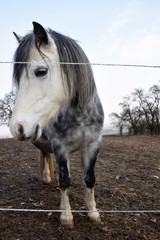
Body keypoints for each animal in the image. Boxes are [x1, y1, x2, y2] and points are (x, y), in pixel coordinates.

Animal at [9, 21, 104, 228]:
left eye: (41, 71)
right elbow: (65, 180)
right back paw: (46, 177)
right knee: (44, 154)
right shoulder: (60, 148)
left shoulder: (93, 145)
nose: (16, 128)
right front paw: (66, 216)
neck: (79, 116)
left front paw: (93, 212)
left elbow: (90, 179)